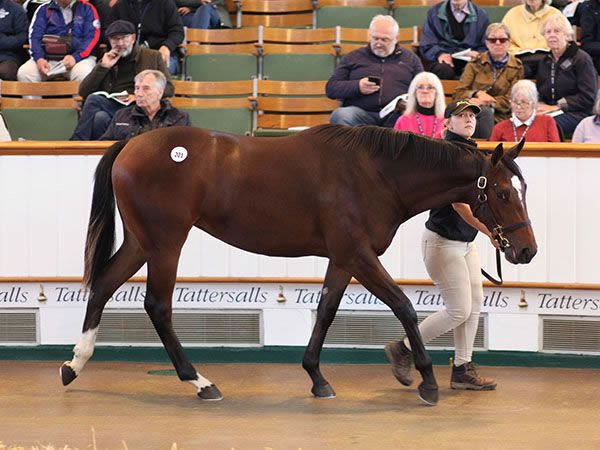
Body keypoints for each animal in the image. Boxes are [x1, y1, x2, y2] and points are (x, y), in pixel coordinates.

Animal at [61, 125, 536, 406]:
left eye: (523, 189)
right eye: (501, 193)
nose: (527, 251)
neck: (375, 173)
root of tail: (133, 143)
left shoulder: (343, 259)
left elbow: (325, 311)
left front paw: (316, 377)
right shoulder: (359, 254)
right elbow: (403, 305)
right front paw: (426, 381)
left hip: (143, 242)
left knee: (103, 284)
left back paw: (74, 365)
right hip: (165, 244)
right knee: (157, 306)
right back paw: (200, 382)